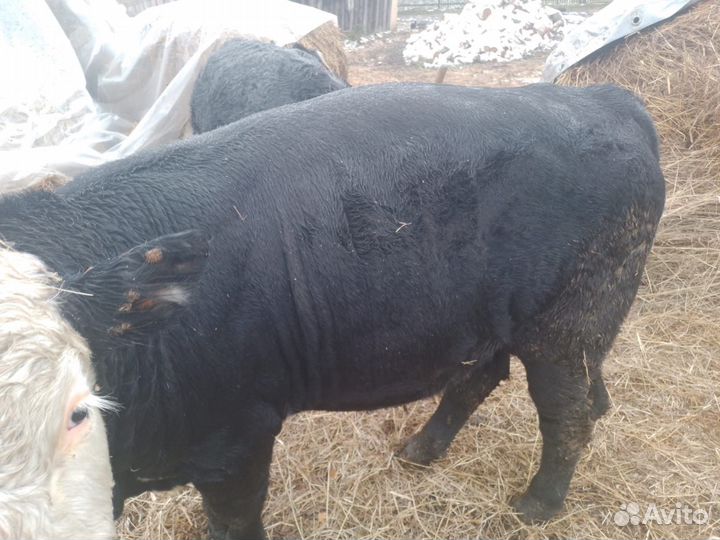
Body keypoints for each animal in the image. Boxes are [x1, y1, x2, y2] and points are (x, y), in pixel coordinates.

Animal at [0, 82, 664, 540]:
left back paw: (537, 506)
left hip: (569, 321)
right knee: (491, 377)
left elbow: (234, 524)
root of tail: (600, 97)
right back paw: (421, 450)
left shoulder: (236, 437)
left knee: (567, 413)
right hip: (502, 319)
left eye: (75, 411)